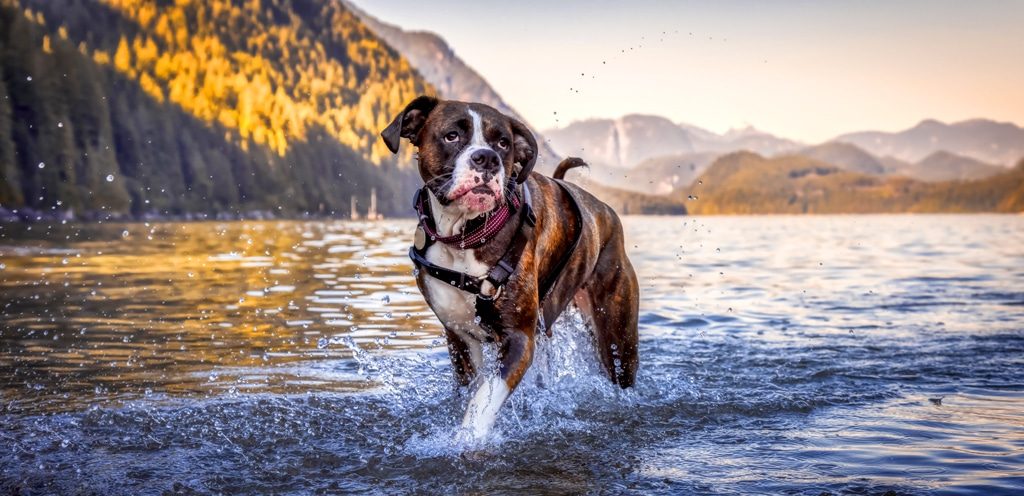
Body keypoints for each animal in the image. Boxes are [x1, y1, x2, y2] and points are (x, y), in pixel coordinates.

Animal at [380, 96, 634, 442]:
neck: (466, 235)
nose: (486, 158)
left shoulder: (519, 340)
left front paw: (466, 440)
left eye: (503, 143)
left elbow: (484, 399)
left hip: (617, 338)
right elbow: (472, 390)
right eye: (451, 136)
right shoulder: (459, 338)